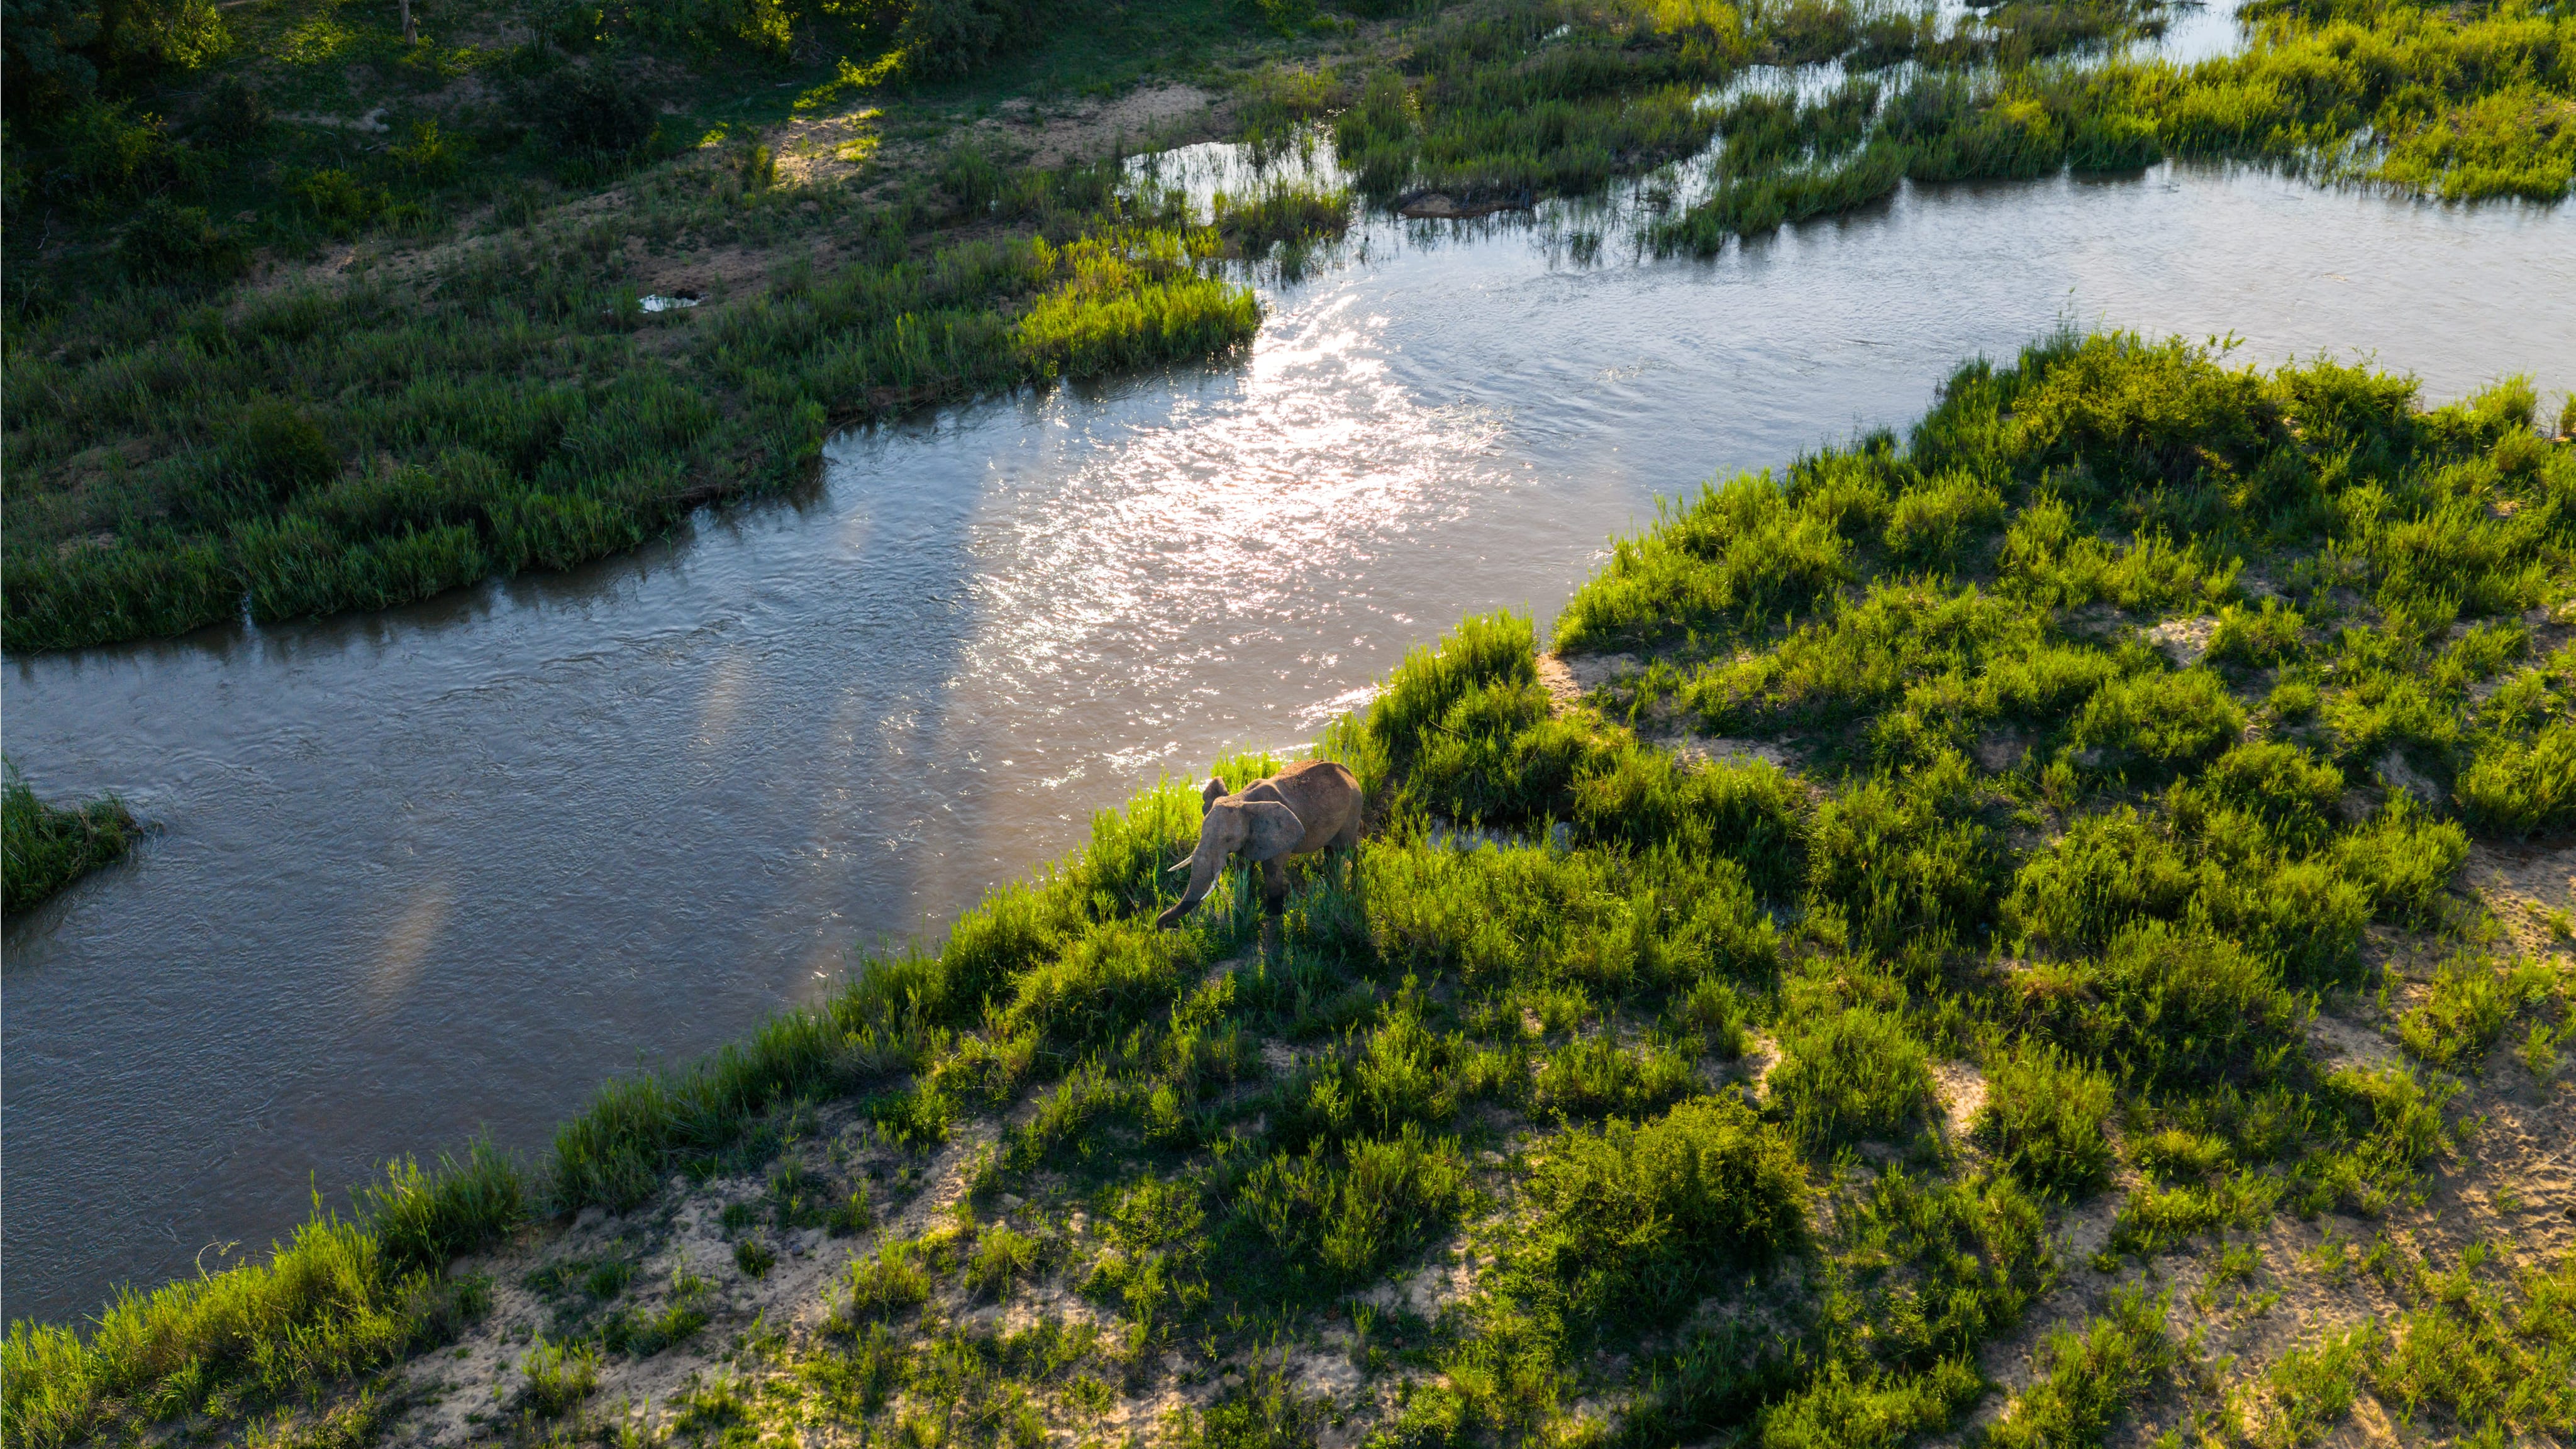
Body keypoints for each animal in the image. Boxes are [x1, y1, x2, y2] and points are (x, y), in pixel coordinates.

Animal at [1155, 759, 1365, 929]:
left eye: (1227, 839)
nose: (1163, 929)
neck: (1241, 798)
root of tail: (1348, 771)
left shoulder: (1277, 835)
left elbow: (1271, 869)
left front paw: (1274, 913)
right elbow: (1243, 868)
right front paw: (1246, 900)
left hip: (1353, 809)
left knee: (1348, 849)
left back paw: (1354, 884)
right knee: (1330, 850)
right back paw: (1330, 881)